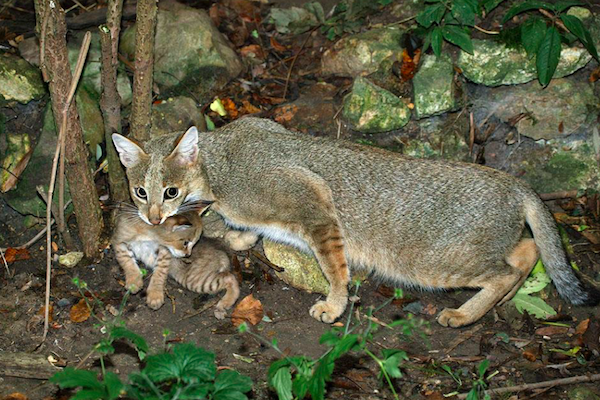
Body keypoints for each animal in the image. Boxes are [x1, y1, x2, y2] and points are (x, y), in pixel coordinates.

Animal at [111, 116, 596, 328]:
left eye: (169, 192)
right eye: (140, 192)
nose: (151, 215)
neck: (220, 163)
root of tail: (514, 183)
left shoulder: (314, 205)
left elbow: (334, 269)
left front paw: (334, 304)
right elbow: (252, 233)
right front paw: (239, 236)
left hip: (438, 262)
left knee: (507, 269)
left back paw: (464, 314)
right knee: (527, 250)